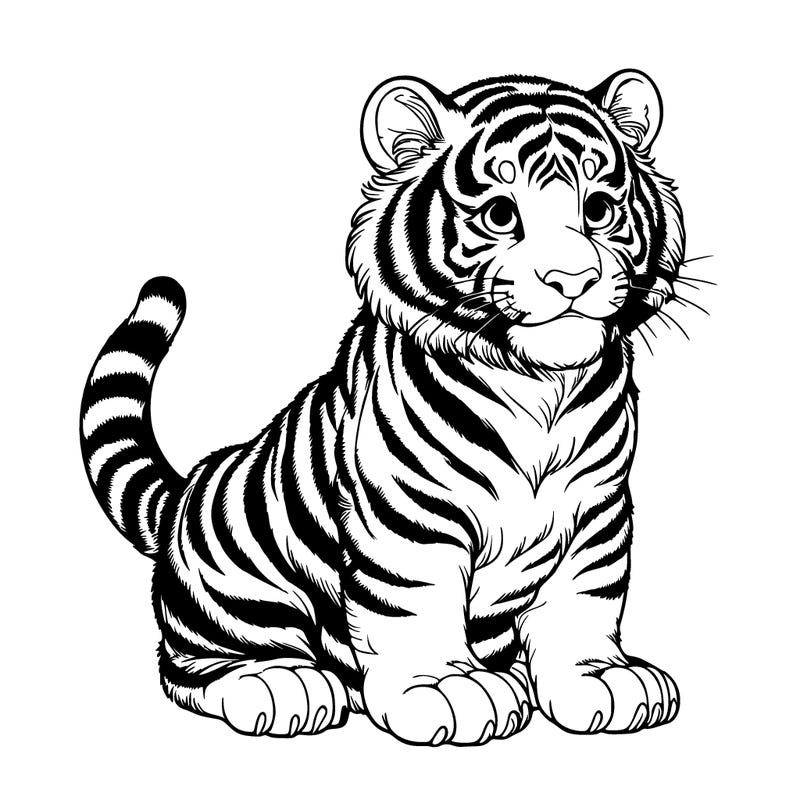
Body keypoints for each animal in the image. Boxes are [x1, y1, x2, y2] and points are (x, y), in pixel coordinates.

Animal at [80, 68, 687, 746]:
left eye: (599, 209)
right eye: (502, 214)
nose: (571, 278)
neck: (540, 388)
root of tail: (183, 493)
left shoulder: (596, 515)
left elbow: (584, 600)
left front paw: (601, 679)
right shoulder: (410, 520)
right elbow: (416, 607)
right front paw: (448, 689)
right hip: (232, 594)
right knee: (192, 667)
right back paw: (284, 684)